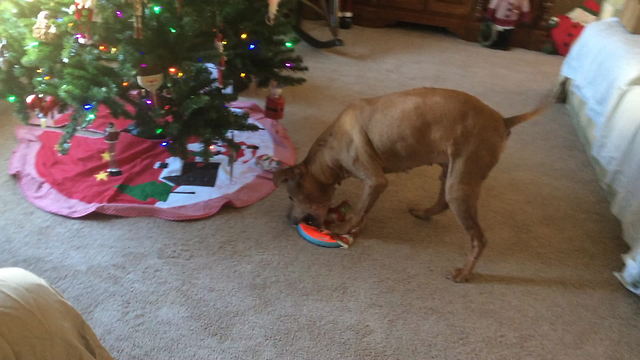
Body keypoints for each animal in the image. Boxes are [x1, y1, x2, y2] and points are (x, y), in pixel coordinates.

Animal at [276, 87, 544, 282]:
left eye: (290, 197)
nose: (290, 221)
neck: (330, 151)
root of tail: (503, 120)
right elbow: (362, 210)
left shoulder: (375, 181)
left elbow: (359, 211)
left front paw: (342, 230)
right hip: (449, 173)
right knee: (442, 203)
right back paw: (423, 213)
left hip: (460, 184)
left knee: (479, 238)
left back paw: (463, 274)